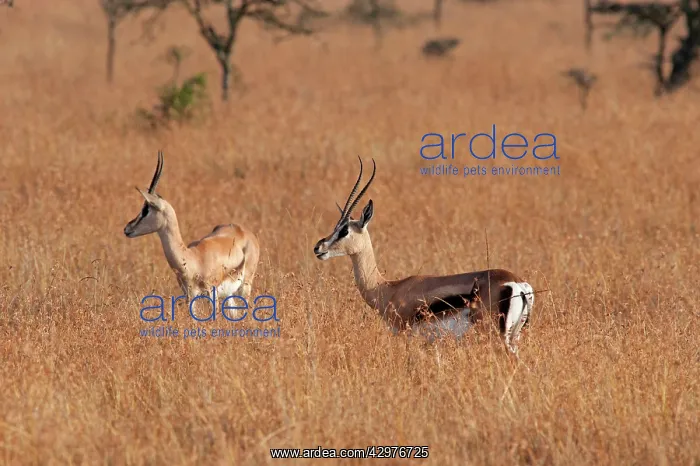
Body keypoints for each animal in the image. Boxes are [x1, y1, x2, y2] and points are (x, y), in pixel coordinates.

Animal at [124, 151, 260, 312]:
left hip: (245, 286)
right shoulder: (189, 296)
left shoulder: (211, 293)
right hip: (229, 294)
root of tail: (244, 231)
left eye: (146, 210)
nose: (127, 228)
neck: (193, 259)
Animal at [313, 157, 534, 354]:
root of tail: (517, 284)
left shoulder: (406, 336)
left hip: (496, 335)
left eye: (344, 230)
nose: (318, 247)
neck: (388, 289)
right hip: (514, 336)